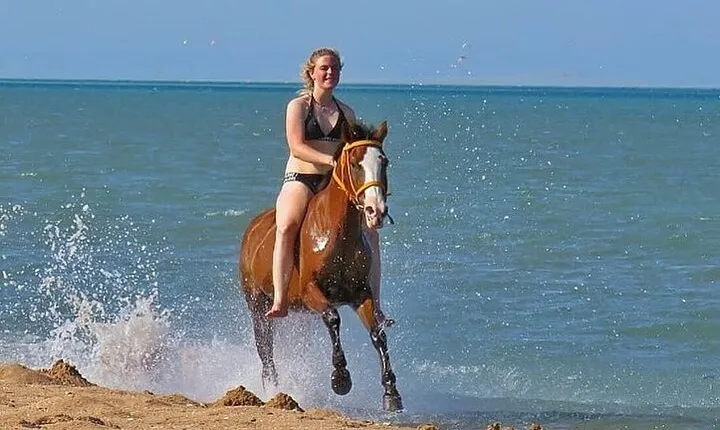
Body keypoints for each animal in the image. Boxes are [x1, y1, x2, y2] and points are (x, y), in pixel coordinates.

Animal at [238, 120, 403, 412]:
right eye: (355, 163)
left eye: (384, 161)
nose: (376, 210)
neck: (338, 234)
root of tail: (252, 228)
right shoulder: (311, 291)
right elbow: (333, 318)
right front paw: (341, 378)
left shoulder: (360, 294)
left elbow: (378, 334)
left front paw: (391, 391)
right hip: (258, 306)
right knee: (265, 351)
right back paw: (273, 389)